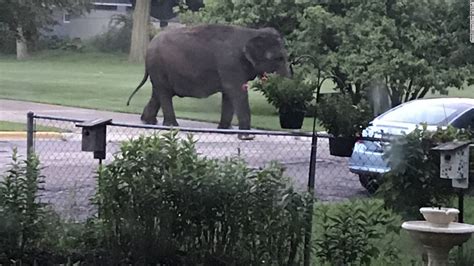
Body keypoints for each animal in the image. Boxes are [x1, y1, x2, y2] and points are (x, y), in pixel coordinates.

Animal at [127, 23, 288, 136]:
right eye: (279, 58)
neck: (252, 32)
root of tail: (149, 47)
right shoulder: (230, 63)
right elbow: (236, 91)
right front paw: (246, 135)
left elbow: (229, 94)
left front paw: (226, 130)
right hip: (159, 66)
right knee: (164, 94)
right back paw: (171, 126)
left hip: (159, 69)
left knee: (158, 93)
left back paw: (148, 121)